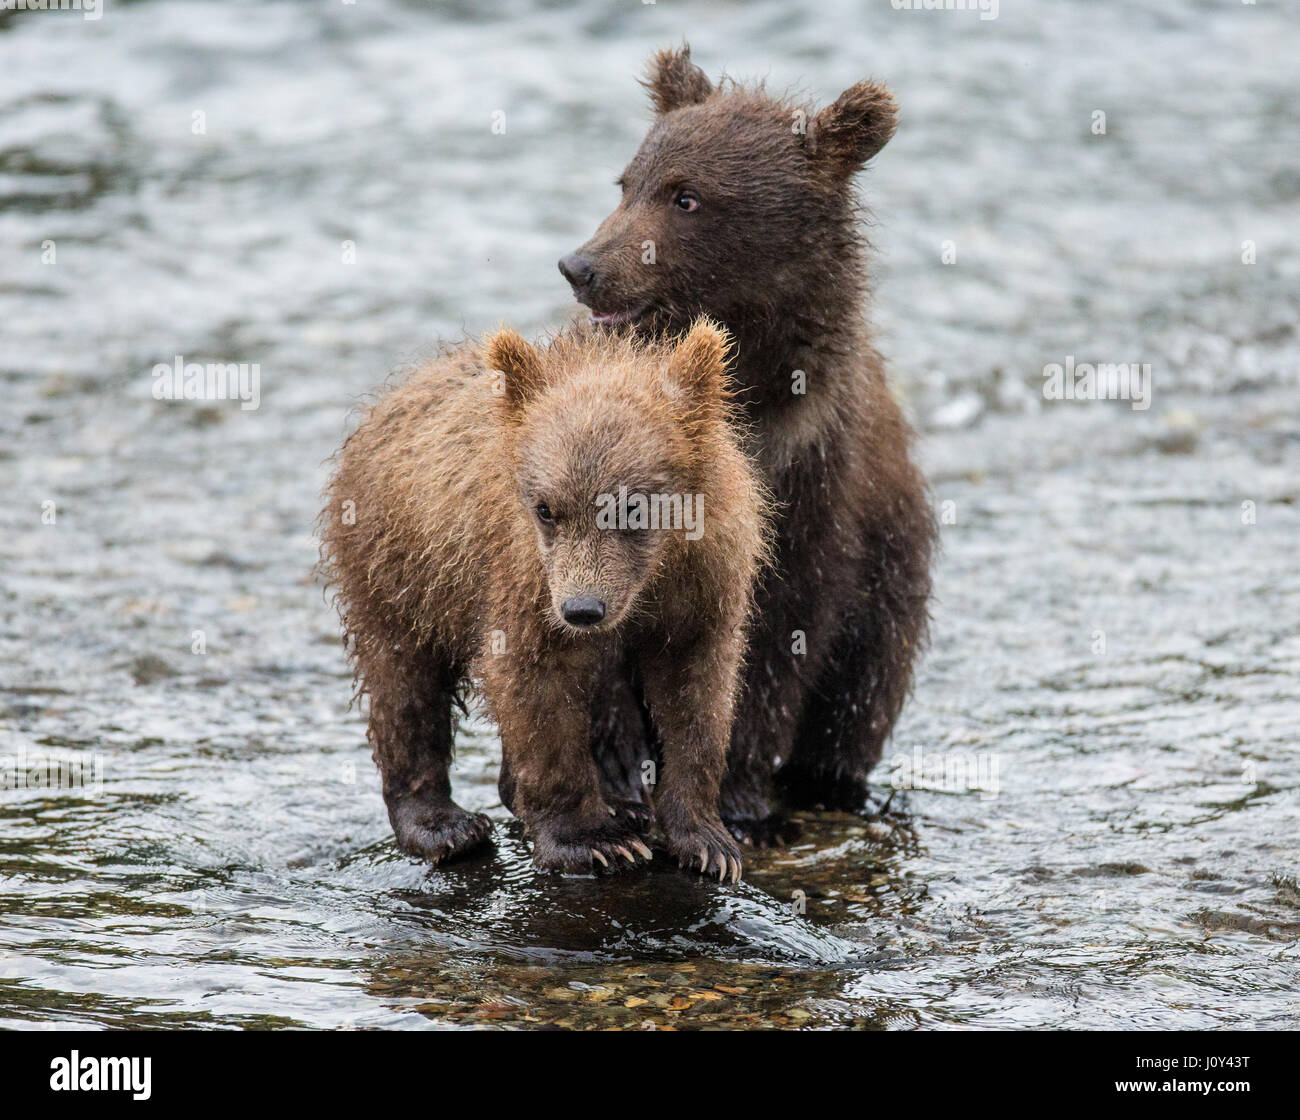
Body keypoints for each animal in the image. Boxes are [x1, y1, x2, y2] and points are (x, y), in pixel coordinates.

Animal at [319, 319, 769, 880]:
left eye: (633, 507)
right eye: (547, 508)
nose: (582, 609)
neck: (650, 580)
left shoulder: (704, 584)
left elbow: (698, 696)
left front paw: (709, 841)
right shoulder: (526, 576)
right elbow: (533, 683)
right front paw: (593, 840)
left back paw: (619, 803)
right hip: (400, 566)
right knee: (403, 681)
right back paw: (444, 824)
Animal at [558, 44, 936, 844]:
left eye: (687, 197)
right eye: (626, 181)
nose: (581, 266)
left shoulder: (813, 479)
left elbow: (776, 632)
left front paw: (735, 790)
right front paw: (617, 767)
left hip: (889, 600)